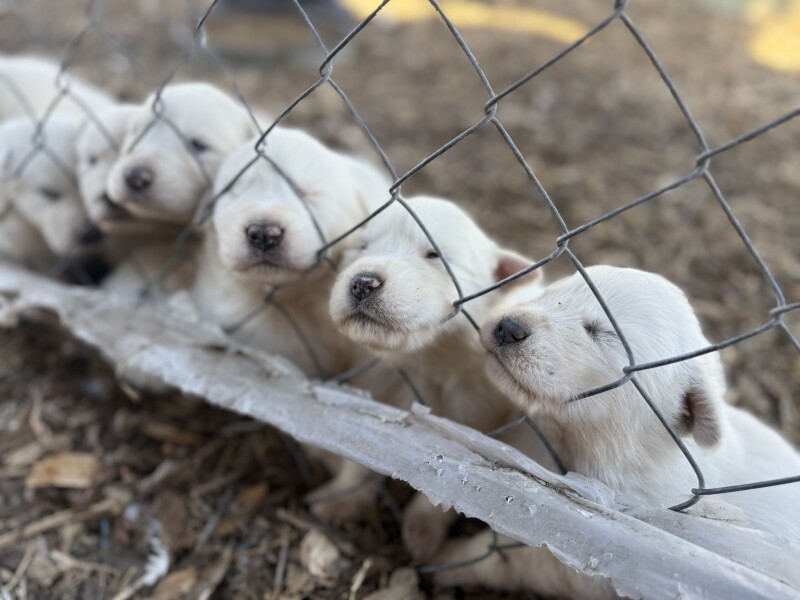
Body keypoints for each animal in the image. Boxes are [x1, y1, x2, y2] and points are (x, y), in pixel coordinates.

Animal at [328, 196, 553, 560]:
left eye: (434, 254)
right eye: (361, 246)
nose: (362, 282)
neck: (425, 362)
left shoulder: (473, 425)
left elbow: (449, 484)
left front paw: (422, 536)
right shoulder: (373, 390)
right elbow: (358, 447)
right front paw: (341, 500)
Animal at [431, 265, 800, 597]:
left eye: (601, 333)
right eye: (552, 292)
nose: (508, 327)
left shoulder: (585, 544)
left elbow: (503, 560)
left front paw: (443, 559)